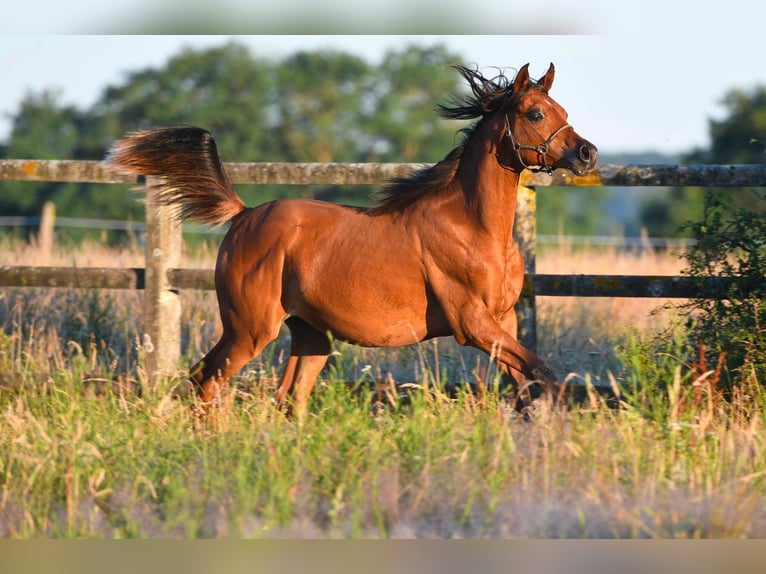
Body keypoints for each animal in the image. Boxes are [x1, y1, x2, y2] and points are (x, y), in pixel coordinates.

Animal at [107, 63, 598, 420]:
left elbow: (529, 384)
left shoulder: (505, 322)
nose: (587, 153)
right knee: (205, 380)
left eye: (563, 112)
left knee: (286, 398)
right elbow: (545, 377)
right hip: (249, 329)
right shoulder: (472, 324)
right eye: (535, 114)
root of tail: (245, 214)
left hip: (310, 336)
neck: (473, 229)